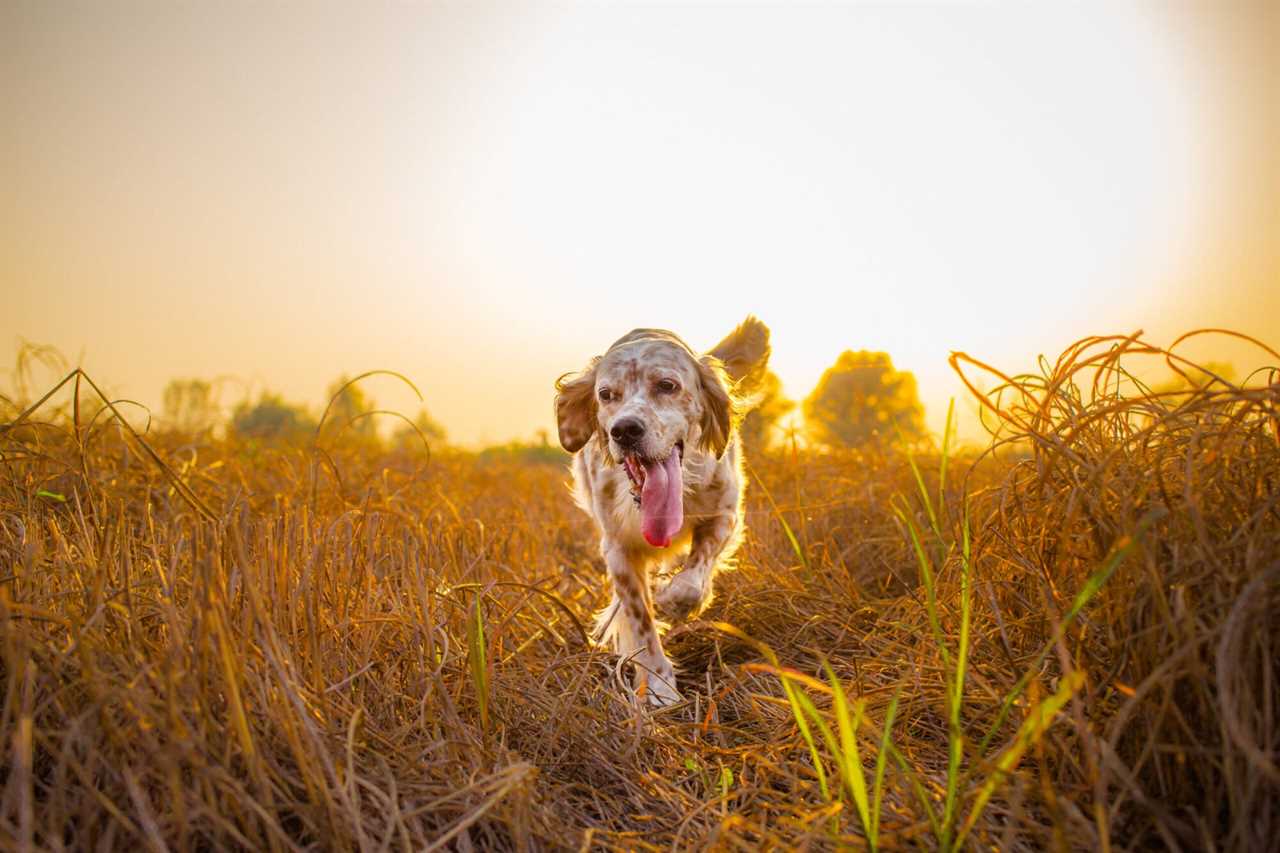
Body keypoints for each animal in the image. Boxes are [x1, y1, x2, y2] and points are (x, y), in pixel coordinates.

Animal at [552, 315, 768, 701]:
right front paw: (658, 685)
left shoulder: (724, 516)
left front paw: (676, 601)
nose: (625, 430)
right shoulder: (618, 549)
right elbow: (641, 619)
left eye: (667, 385)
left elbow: (693, 578)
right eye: (605, 394)